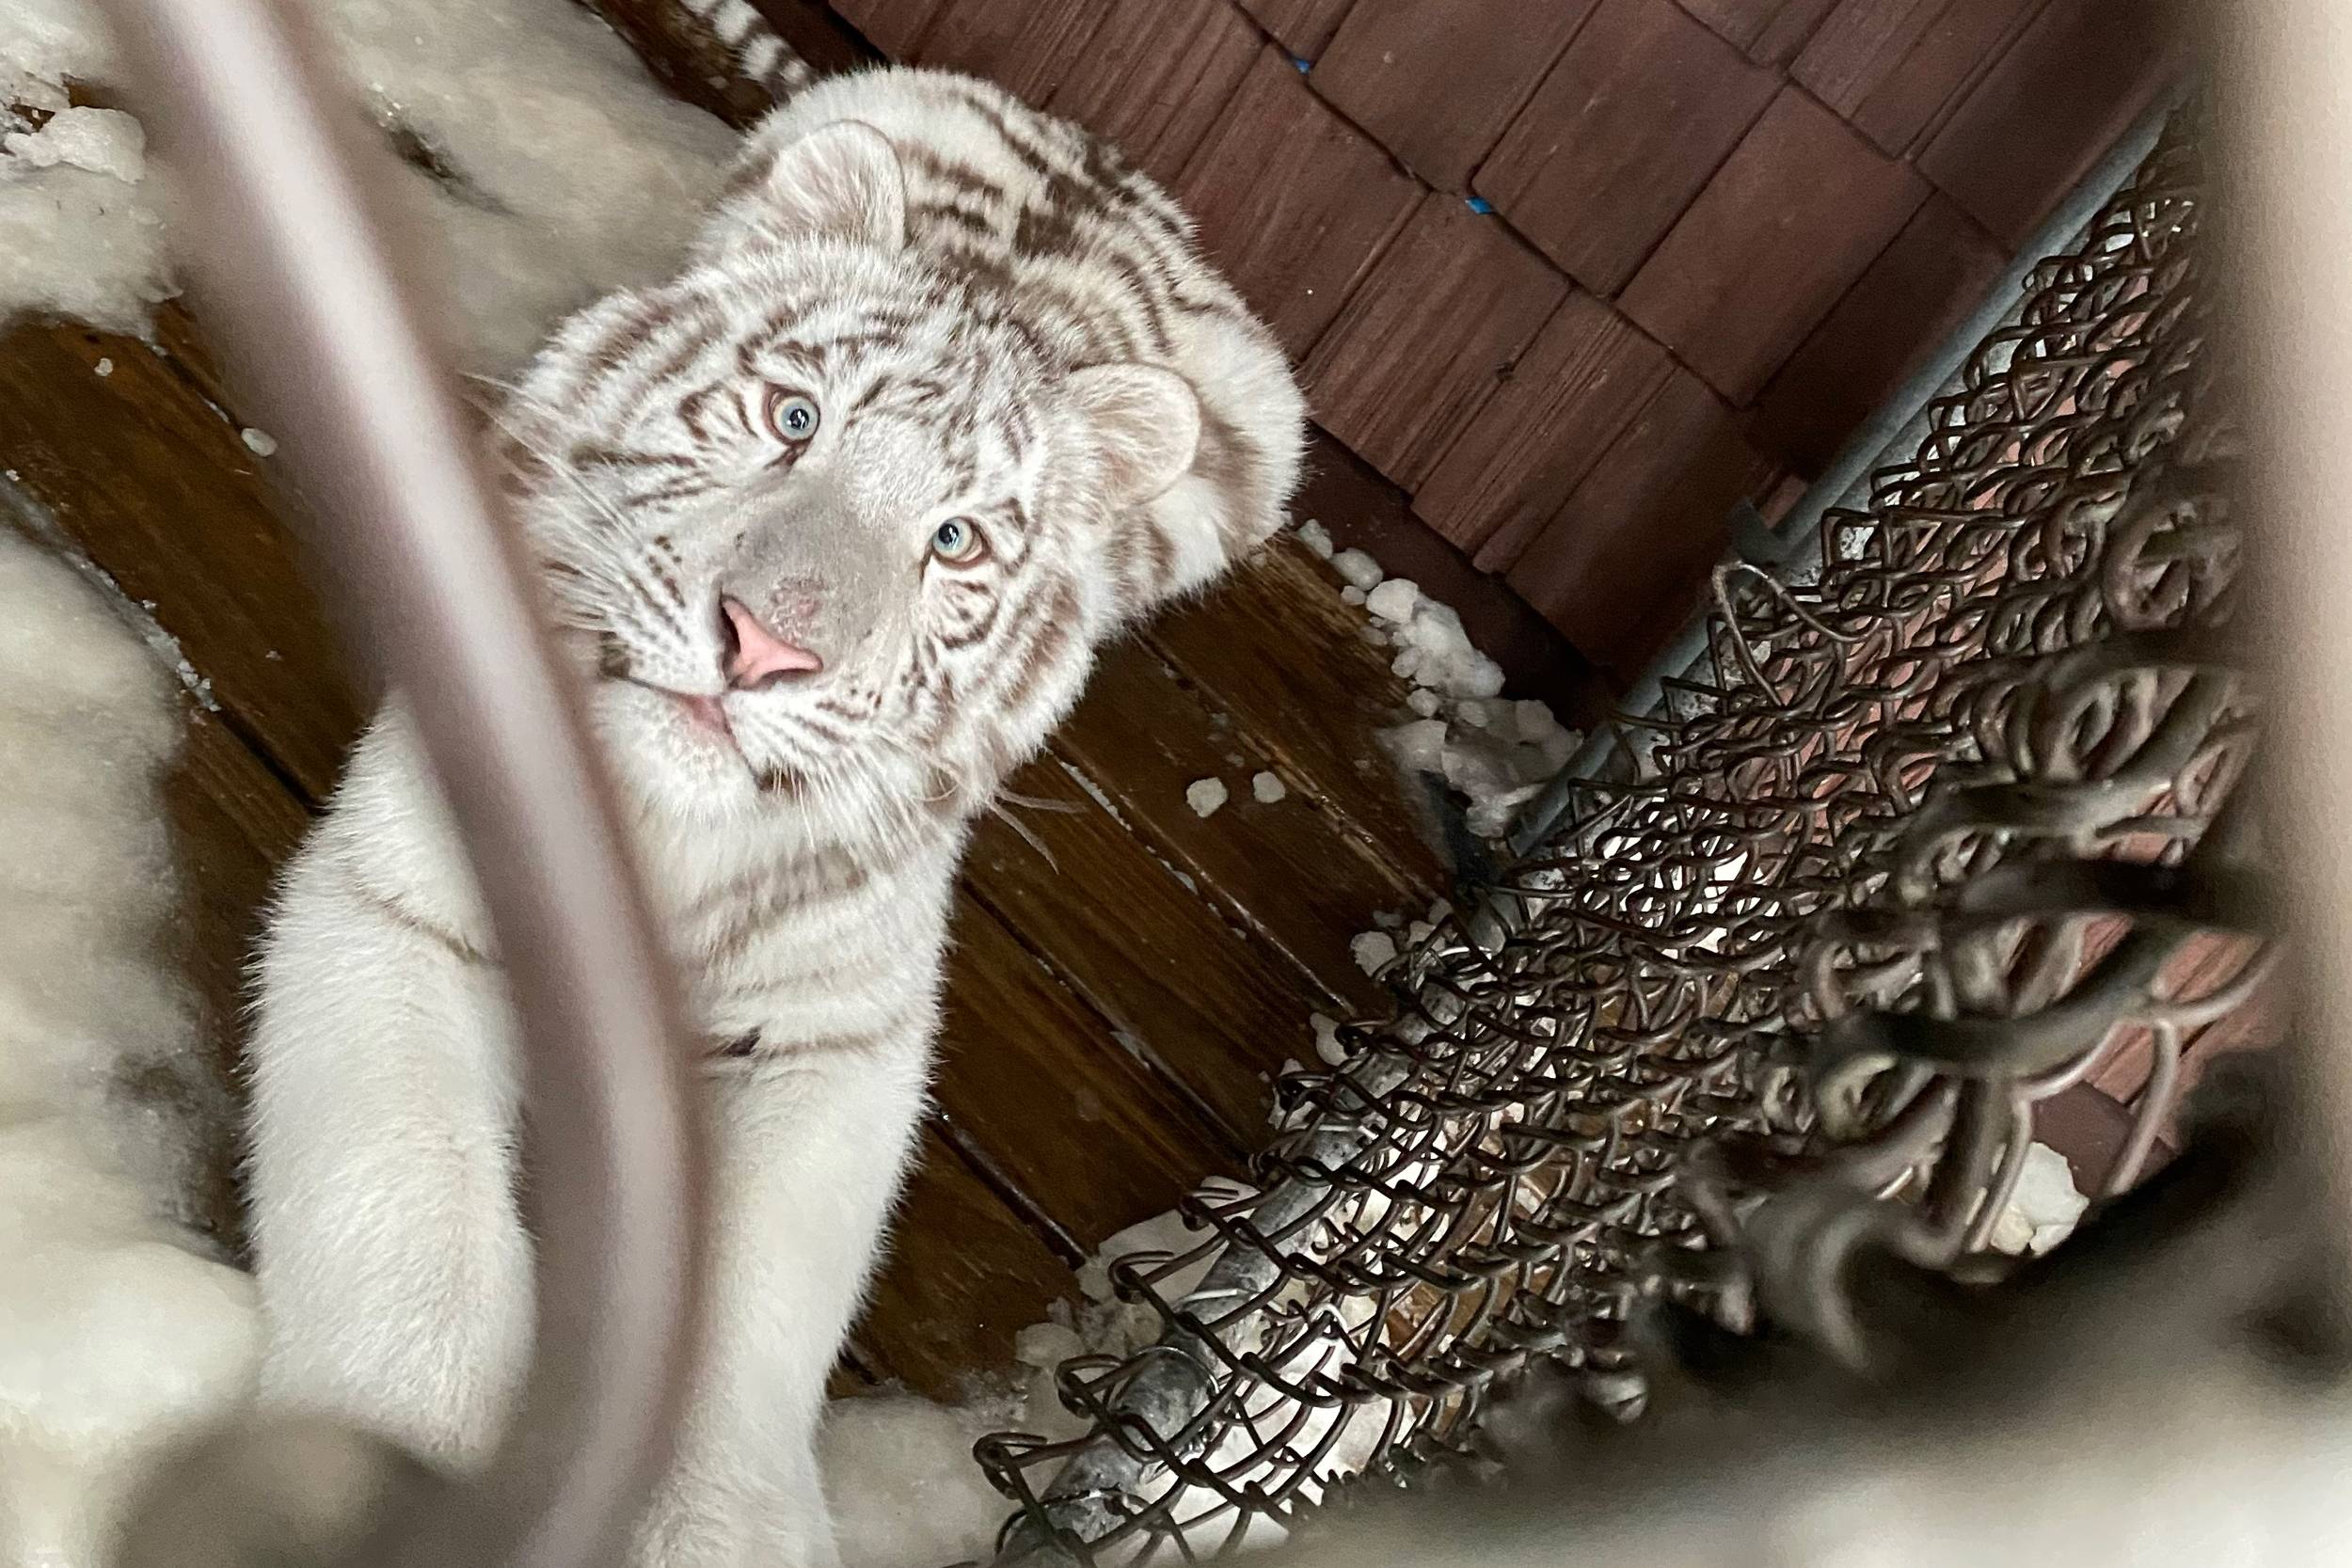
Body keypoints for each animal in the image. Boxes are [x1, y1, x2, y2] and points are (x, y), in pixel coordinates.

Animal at [242, 65, 1303, 1566]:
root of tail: (1116, 151)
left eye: (956, 540)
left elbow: (748, 1302)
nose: (765, 648)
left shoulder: (836, 1032)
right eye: (795, 418)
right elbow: (406, 1196)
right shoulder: (400, 903)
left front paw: (713, 1527)